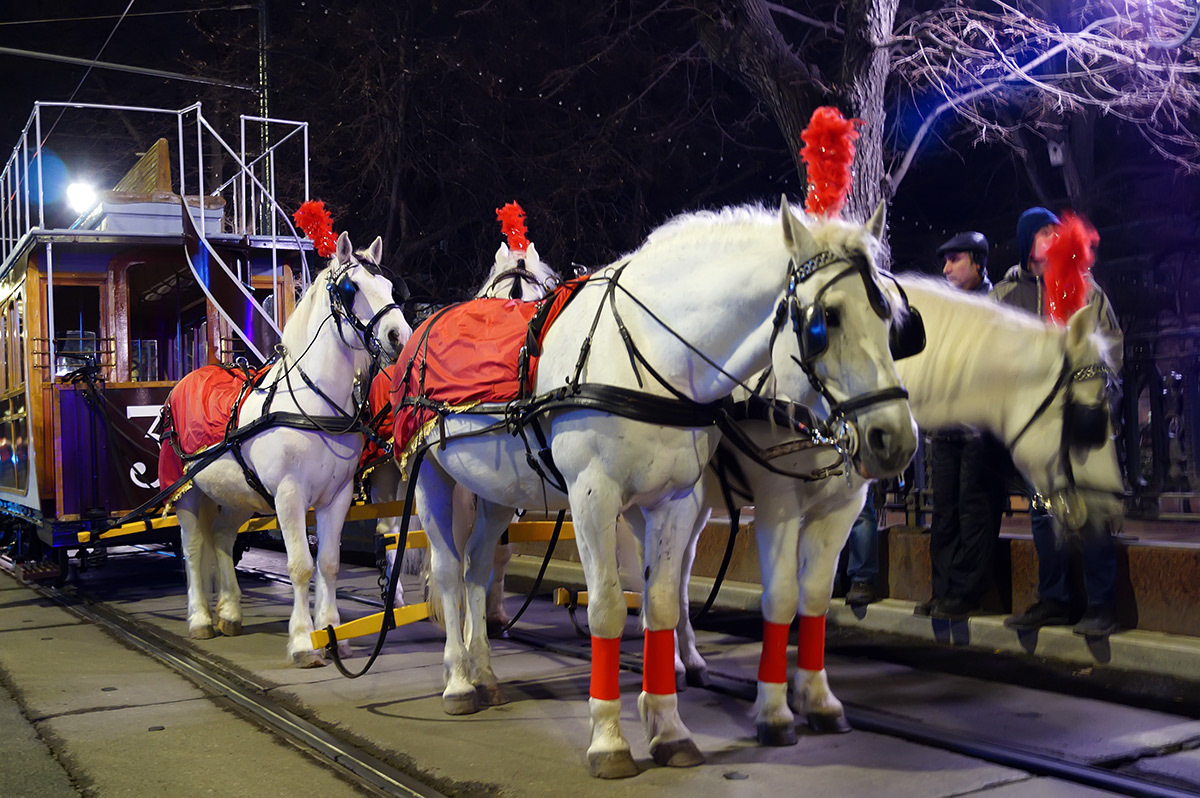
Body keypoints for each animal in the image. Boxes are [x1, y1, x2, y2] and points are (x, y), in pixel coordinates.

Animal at [169, 231, 412, 667]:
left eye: (389, 287)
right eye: (351, 289)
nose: (400, 338)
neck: (314, 403)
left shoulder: (337, 497)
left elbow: (328, 564)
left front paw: (333, 634)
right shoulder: (288, 495)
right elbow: (300, 566)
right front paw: (303, 641)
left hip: (238, 495)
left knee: (222, 538)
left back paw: (229, 611)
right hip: (189, 490)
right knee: (194, 547)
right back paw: (200, 618)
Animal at [408, 199, 912, 777]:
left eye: (889, 317)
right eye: (825, 320)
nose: (895, 439)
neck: (651, 354)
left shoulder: (677, 500)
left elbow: (665, 603)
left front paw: (670, 729)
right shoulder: (595, 496)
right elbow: (607, 607)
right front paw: (609, 739)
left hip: (497, 492)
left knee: (477, 568)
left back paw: (486, 671)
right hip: (430, 475)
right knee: (449, 570)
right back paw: (458, 679)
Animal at [672, 272, 1118, 739]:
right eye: (1091, 416)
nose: (1109, 506)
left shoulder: (843, 505)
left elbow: (813, 596)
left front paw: (814, 699)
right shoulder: (778, 501)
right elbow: (780, 597)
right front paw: (774, 710)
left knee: (677, 576)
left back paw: (689, 662)